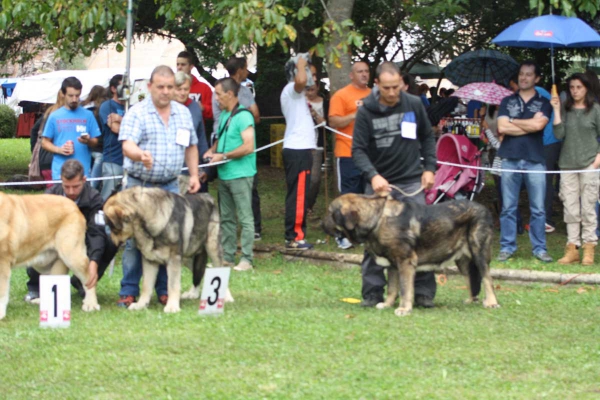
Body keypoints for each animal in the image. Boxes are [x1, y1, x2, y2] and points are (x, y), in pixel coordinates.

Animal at [0, 192, 99, 320]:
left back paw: (90, 304)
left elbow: (2, 292)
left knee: (89, 278)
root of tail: (74, 205)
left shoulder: (3, 262)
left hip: (72, 255)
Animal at [103, 186, 230, 314]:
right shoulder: (150, 260)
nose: (110, 241)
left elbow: (172, 285)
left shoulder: (174, 260)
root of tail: (209, 197)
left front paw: (172, 306)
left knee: (220, 269)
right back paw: (193, 293)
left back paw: (226, 297)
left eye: (111, 225)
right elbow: (146, 286)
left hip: (212, 248)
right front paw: (141, 304)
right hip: (187, 256)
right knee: (199, 271)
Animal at [326, 192, 500, 318]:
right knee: (470, 278)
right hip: (462, 261)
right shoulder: (393, 265)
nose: (322, 222)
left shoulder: (405, 262)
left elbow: (405, 288)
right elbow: (392, 288)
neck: (377, 219)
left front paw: (404, 308)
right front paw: (387, 304)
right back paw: (471, 300)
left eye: (330, 213)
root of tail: (485, 209)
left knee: (487, 278)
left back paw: (492, 302)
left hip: (479, 252)